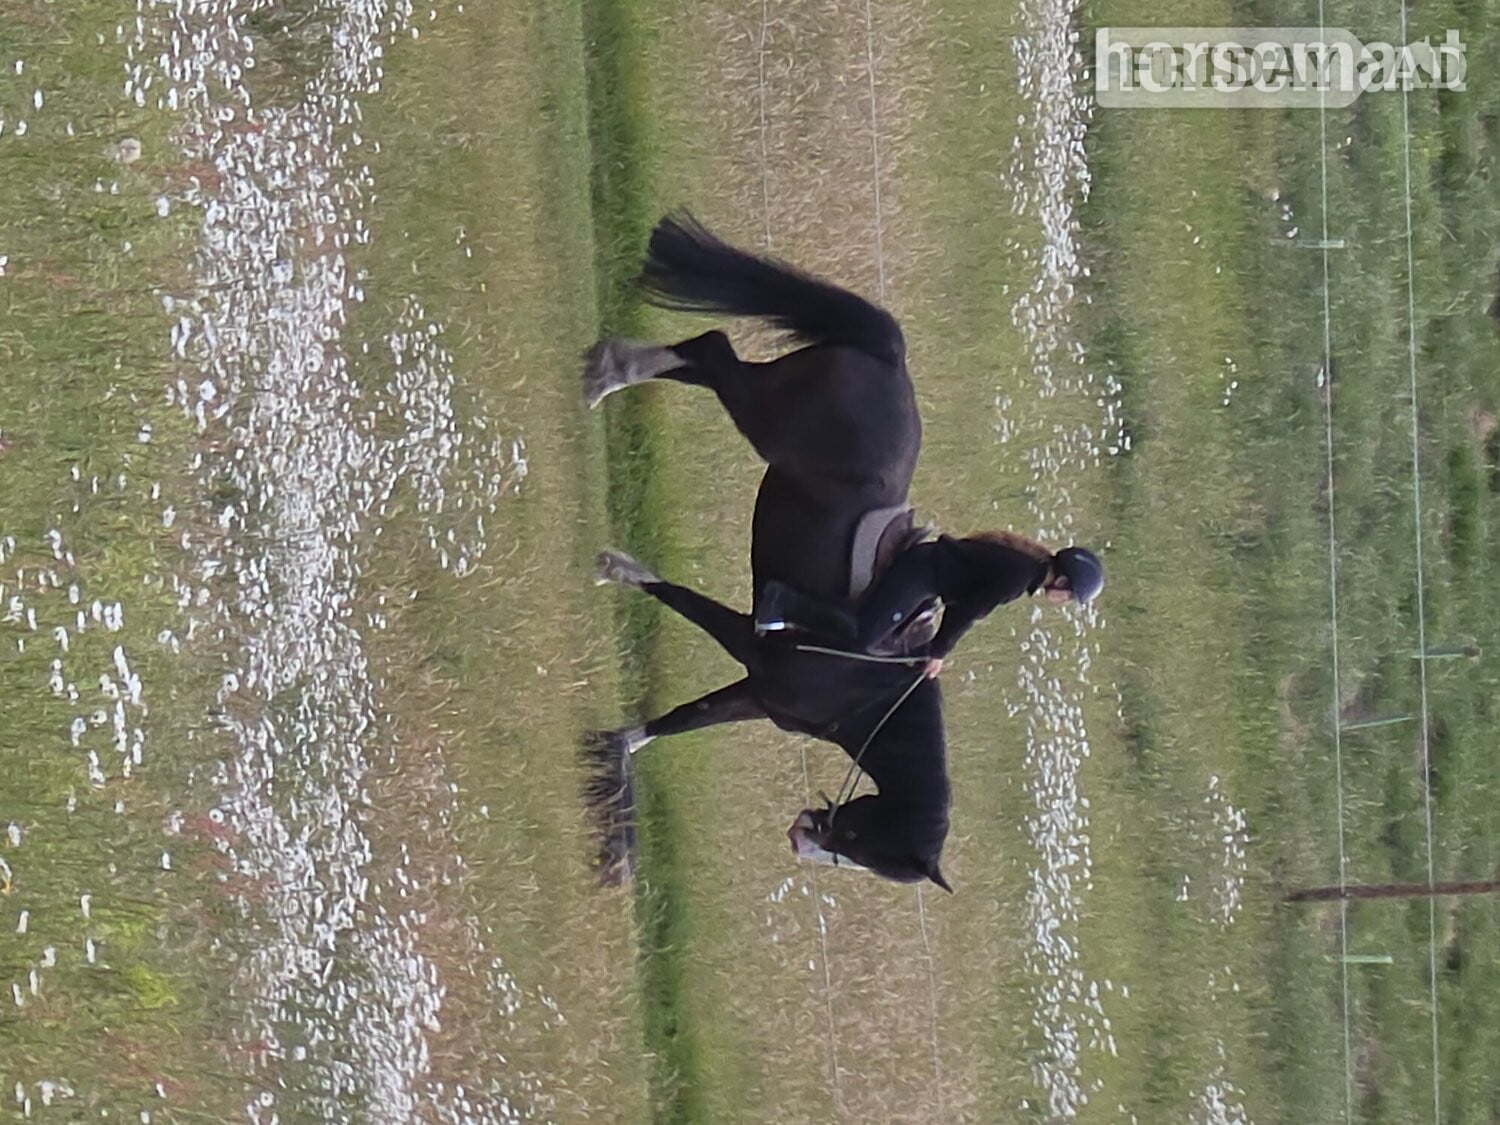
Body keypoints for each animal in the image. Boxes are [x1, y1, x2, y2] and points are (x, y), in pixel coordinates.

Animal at [582, 211, 952, 892]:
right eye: (867, 845)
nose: (802, 840)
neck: (864, 689)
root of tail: (891, 355)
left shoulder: (757, 694)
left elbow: (680, 720)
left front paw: (616, 750)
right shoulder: (752, 645)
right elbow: (680, 601)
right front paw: (615, 567)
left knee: (707, 358)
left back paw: (609, 369)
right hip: (765, 417)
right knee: (712, 350)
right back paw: (605, 372)